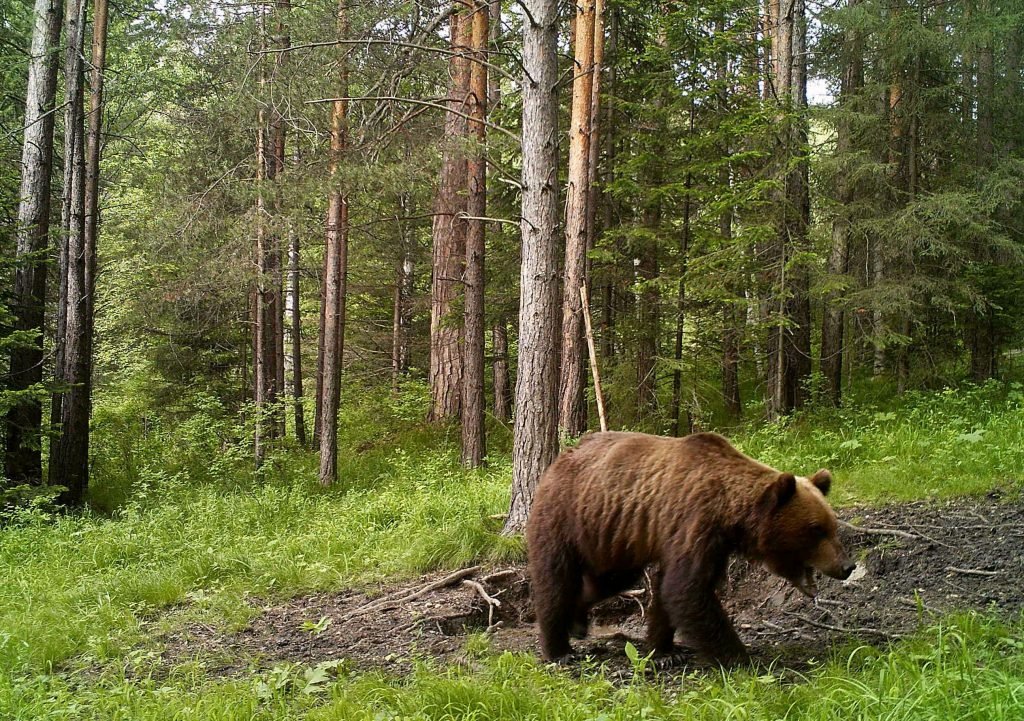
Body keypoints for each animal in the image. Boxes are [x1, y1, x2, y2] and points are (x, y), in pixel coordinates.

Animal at [524, 428, 851, 663]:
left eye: (832, 526)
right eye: (815, 529)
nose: (847, 566)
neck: (730, 513)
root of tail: (559, 459)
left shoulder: (712, 543)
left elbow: (671, 588)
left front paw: (664, 651)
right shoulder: (695, 522)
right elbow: (686, 589)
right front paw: (741, 658)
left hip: (611, 534)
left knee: (610, 579)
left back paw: (578, 621)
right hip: (563, 515)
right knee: (555, 579)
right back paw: (559, 650)